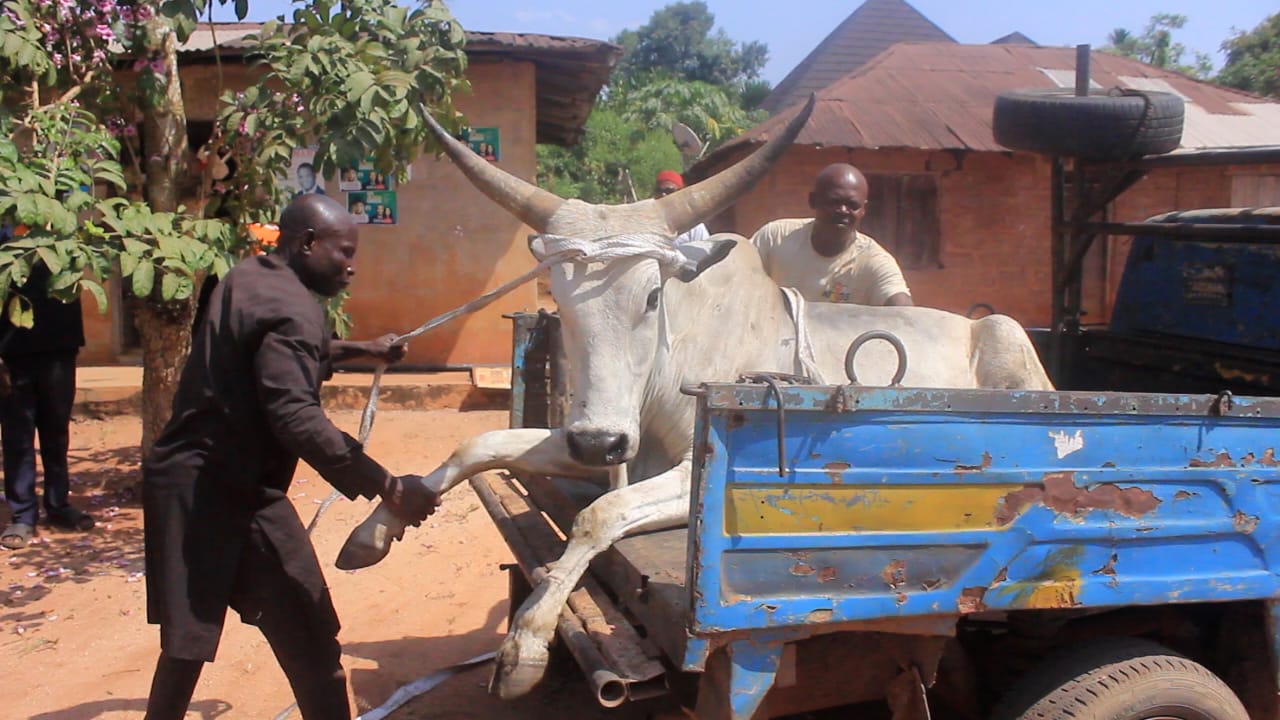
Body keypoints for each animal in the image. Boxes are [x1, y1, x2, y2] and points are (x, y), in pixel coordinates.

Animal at [335, 96, 1054, 699]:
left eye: (653, 295)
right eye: (560, 302)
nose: (600, 440)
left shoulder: (693, 475)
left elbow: (597, 515)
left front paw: (525, 646)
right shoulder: (598, 444)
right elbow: (476, 444)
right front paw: (374, 531)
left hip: (1007, 337)